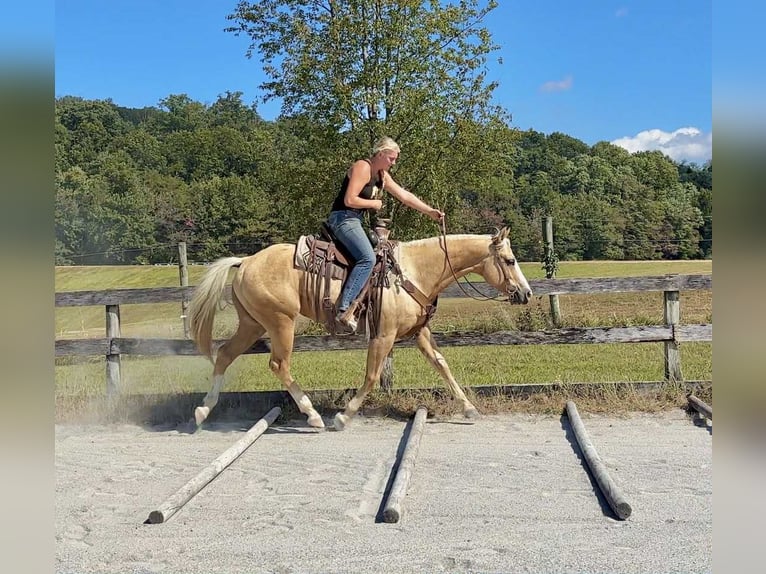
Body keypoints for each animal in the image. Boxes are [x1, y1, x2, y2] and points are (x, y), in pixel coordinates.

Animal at [188, 227, 532, 431]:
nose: (526, 293)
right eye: (510, 260)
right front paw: (344, 415)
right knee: (278, 364)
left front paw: (469, 408)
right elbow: (372, 376)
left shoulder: (418, 333)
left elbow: (442, 365)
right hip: (280, 323)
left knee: (224, 354)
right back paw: (313, 416)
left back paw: (203, 411)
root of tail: (245, 261)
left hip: (252, 323)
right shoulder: (383, 336)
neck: (413, 272)